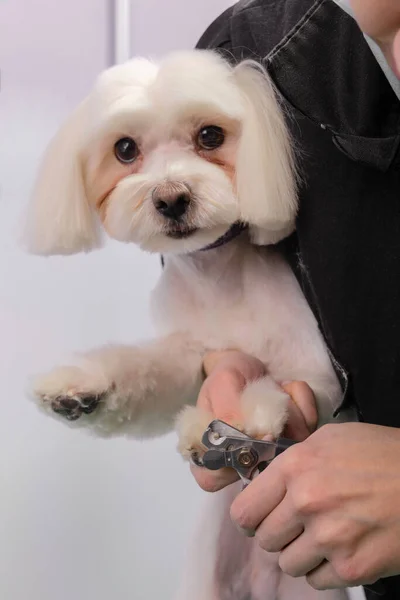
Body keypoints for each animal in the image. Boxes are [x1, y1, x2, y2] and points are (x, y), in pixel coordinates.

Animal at [25, 50, 350, 600]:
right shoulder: (188, 361)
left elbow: (290, 391)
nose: (171, 197)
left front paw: (250, 418)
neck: (217, 282)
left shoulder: (318, 378)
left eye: (211, 136)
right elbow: (146, 374)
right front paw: (81, 387)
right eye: (125, 148)